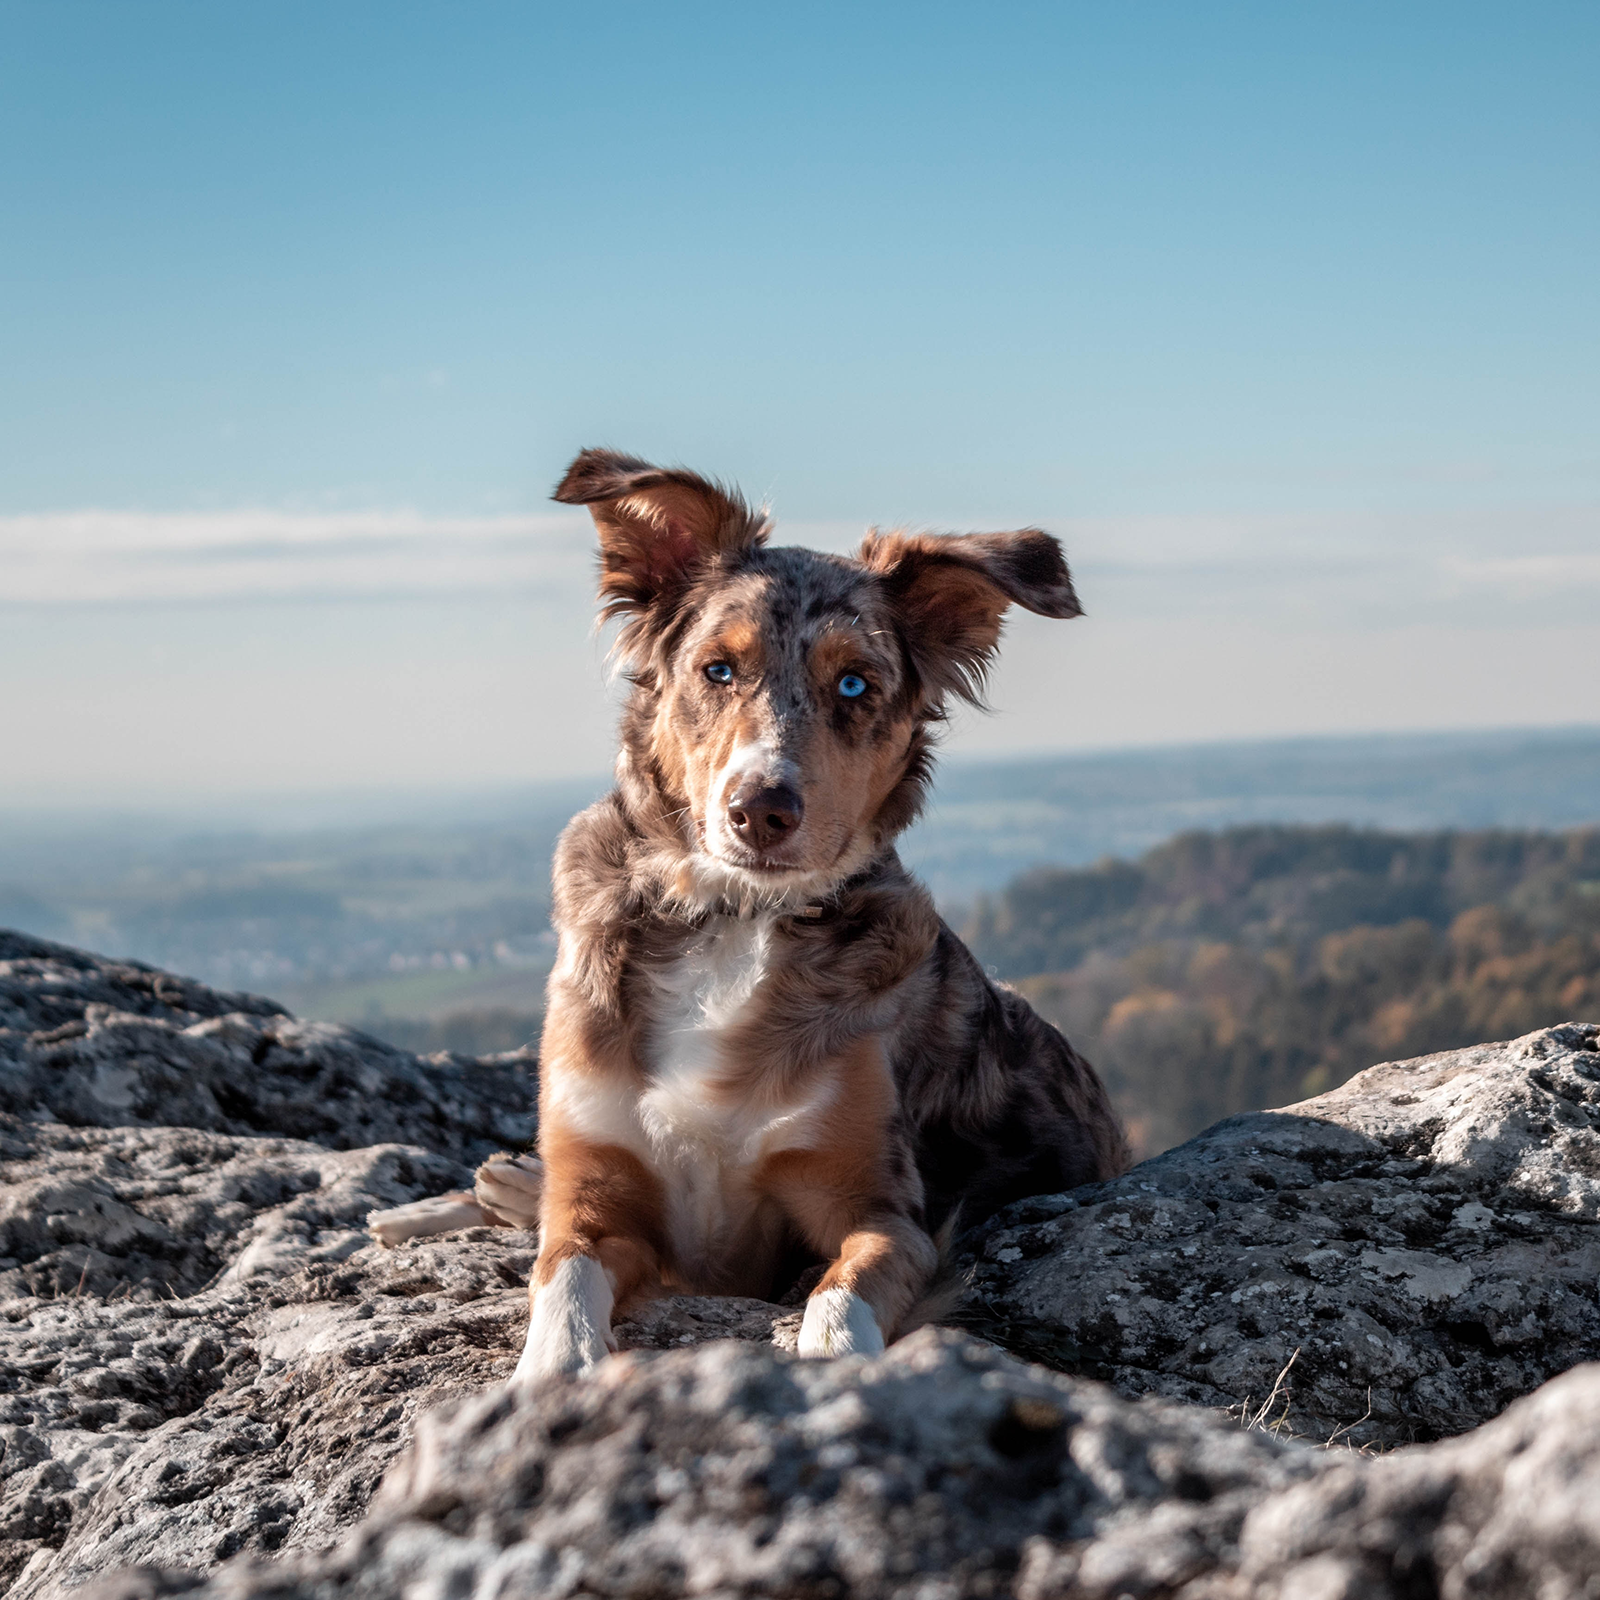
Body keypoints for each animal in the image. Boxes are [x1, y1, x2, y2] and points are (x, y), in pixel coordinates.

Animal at [369, 454, 1132, 1388]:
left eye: (855, 684)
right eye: (718, 670)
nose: (760, 810)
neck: (730, 919)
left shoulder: (878, 1212)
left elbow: (836, 1302)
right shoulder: (597, 1195)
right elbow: (563, 1281)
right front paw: (545, 1378)